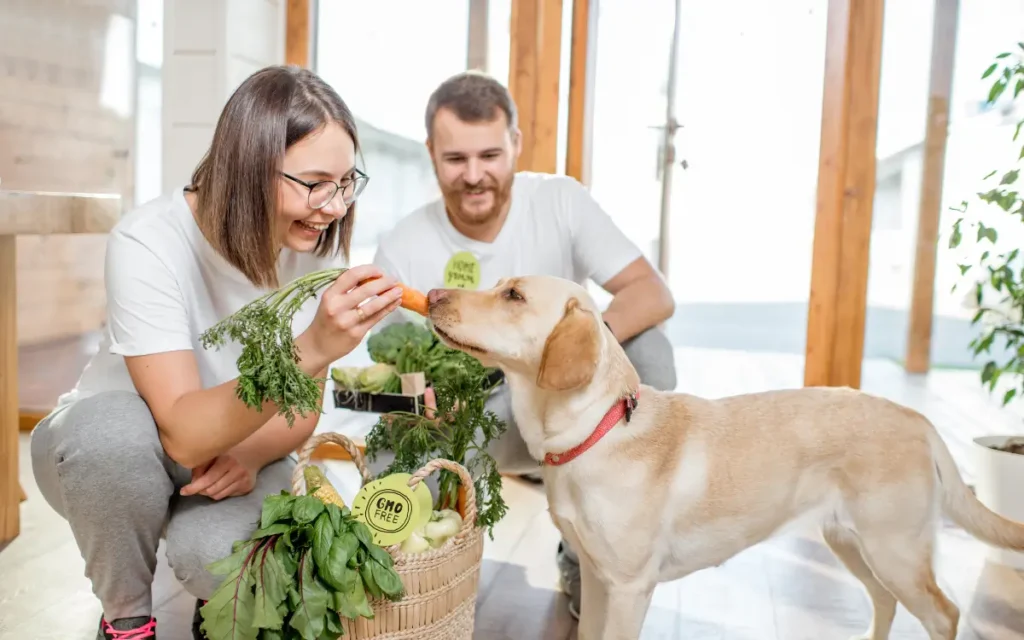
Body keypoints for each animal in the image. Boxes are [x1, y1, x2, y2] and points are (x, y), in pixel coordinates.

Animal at [425, 274, 1024, 638]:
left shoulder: (629, 587)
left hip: (895, 550)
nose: (431, 294)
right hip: (852, 543)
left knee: (944, 613)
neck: (596, 428)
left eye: (514, 296)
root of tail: (917, 419)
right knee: (884, 601)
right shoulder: (596, 579)